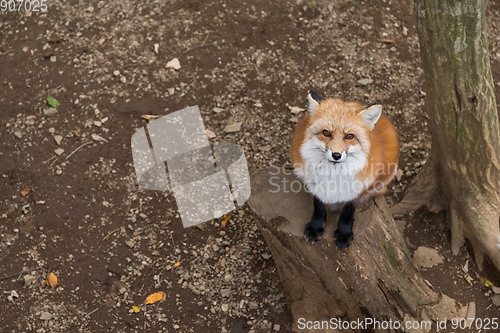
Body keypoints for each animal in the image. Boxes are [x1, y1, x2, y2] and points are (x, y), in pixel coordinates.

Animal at [292, 91, 400, 249]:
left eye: (350, 136)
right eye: (326, 133)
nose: (336, 155)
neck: (332, 176)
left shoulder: (355, 188)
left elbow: (347, 212)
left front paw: (343, 234)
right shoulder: (315, 184)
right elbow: (318, 206)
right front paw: (316, 227)